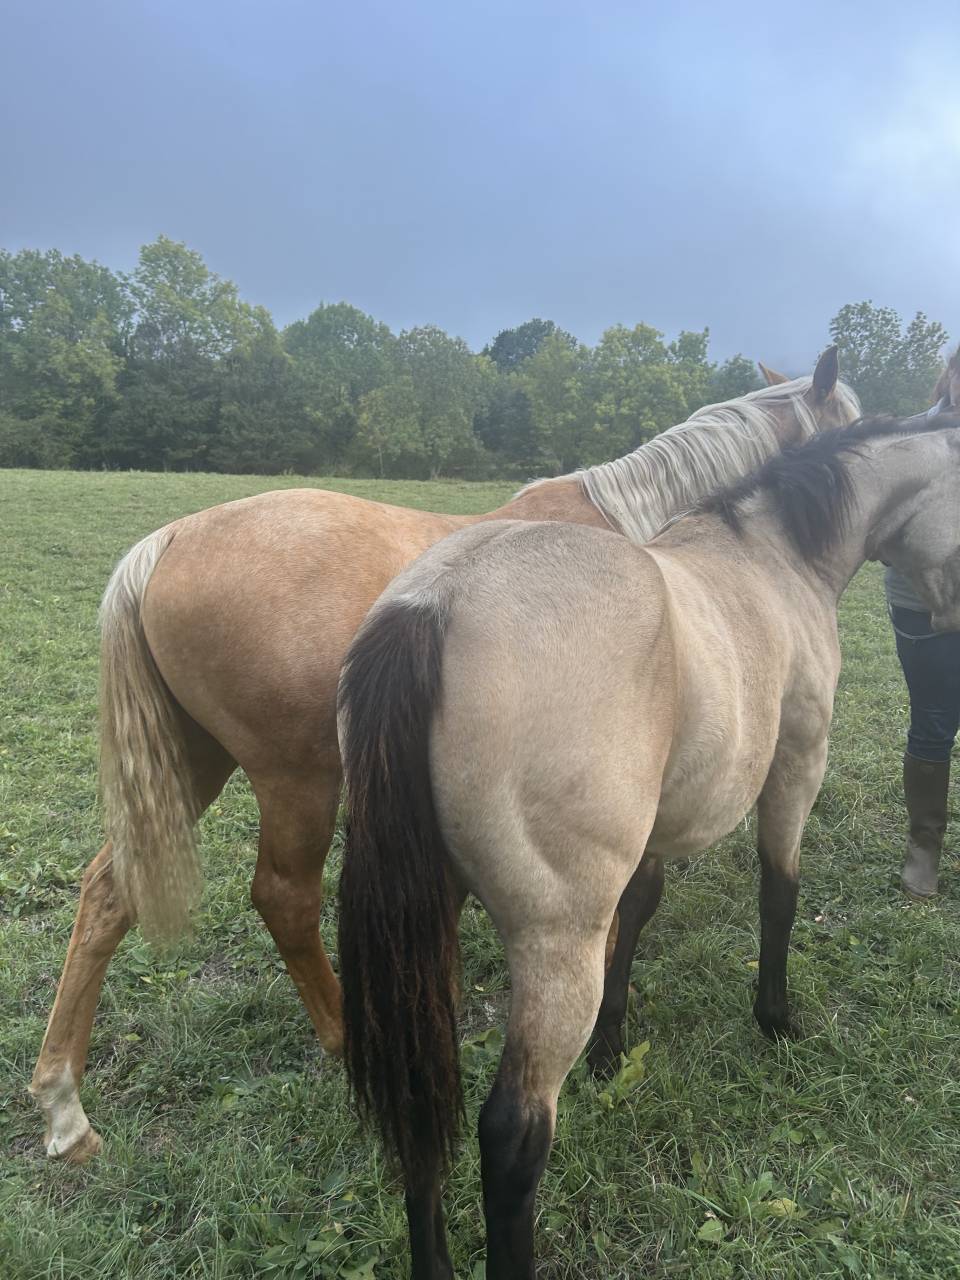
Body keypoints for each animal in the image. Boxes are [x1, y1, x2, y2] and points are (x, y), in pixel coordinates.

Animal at [29, 351, 859, 1163]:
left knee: (109, 892)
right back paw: (345, 1040)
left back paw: (66, 1109)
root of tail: (165, 541)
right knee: (284, 898)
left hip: (191, 765)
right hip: (295, 780)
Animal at [337, 411, 960, 1280]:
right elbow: (780, 892)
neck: (771, 554)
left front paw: (611, 1049)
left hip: (426, 938)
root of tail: (437, 602)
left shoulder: (656, 829)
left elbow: (637, 915)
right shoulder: (798, 764)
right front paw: (774, 1018)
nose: (944, 624)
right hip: (553, 943)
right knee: (512, 1136)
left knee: (422, 1104)